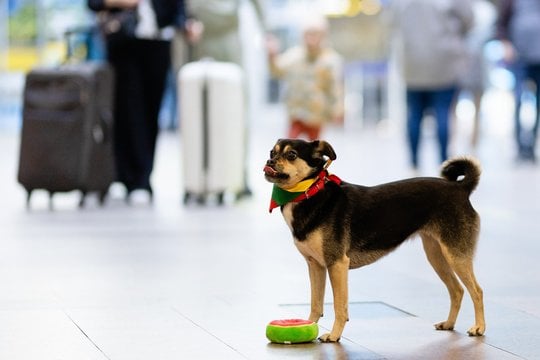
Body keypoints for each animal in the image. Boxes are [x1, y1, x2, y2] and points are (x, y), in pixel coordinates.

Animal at [264, 139, 488, 344]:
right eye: (272, 152)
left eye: (291, 155)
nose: (269, 161)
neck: (310, 192)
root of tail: (461, 188)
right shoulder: (316, 265)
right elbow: (316, 304)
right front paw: (308, 326)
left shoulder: (337, 264)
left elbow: (339, 305)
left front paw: (334, 335)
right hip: (437, 255)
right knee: (457, 290)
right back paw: (449, 323)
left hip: (455, 255)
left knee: (476, 291)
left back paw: (479, 327)